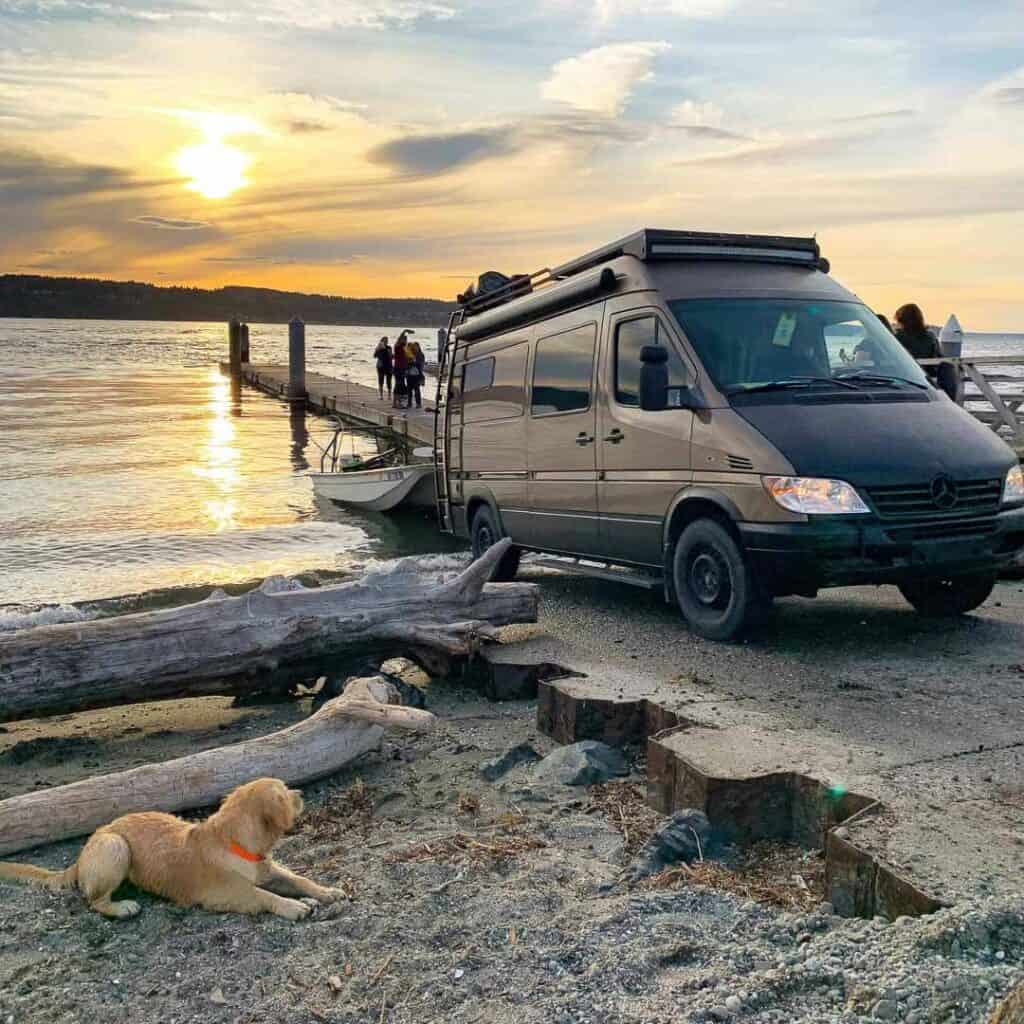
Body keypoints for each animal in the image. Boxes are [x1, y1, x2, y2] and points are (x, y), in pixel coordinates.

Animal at [0, 774, 346, 921]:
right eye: (286, 792)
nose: (301, 793)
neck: (235, 842)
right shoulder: (227, 894)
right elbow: (263, 895)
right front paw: (293, 906)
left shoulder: (268, 870)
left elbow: (299, 879)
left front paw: (326, 892)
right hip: (115, 846)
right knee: (93, 901)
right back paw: (122, 908)